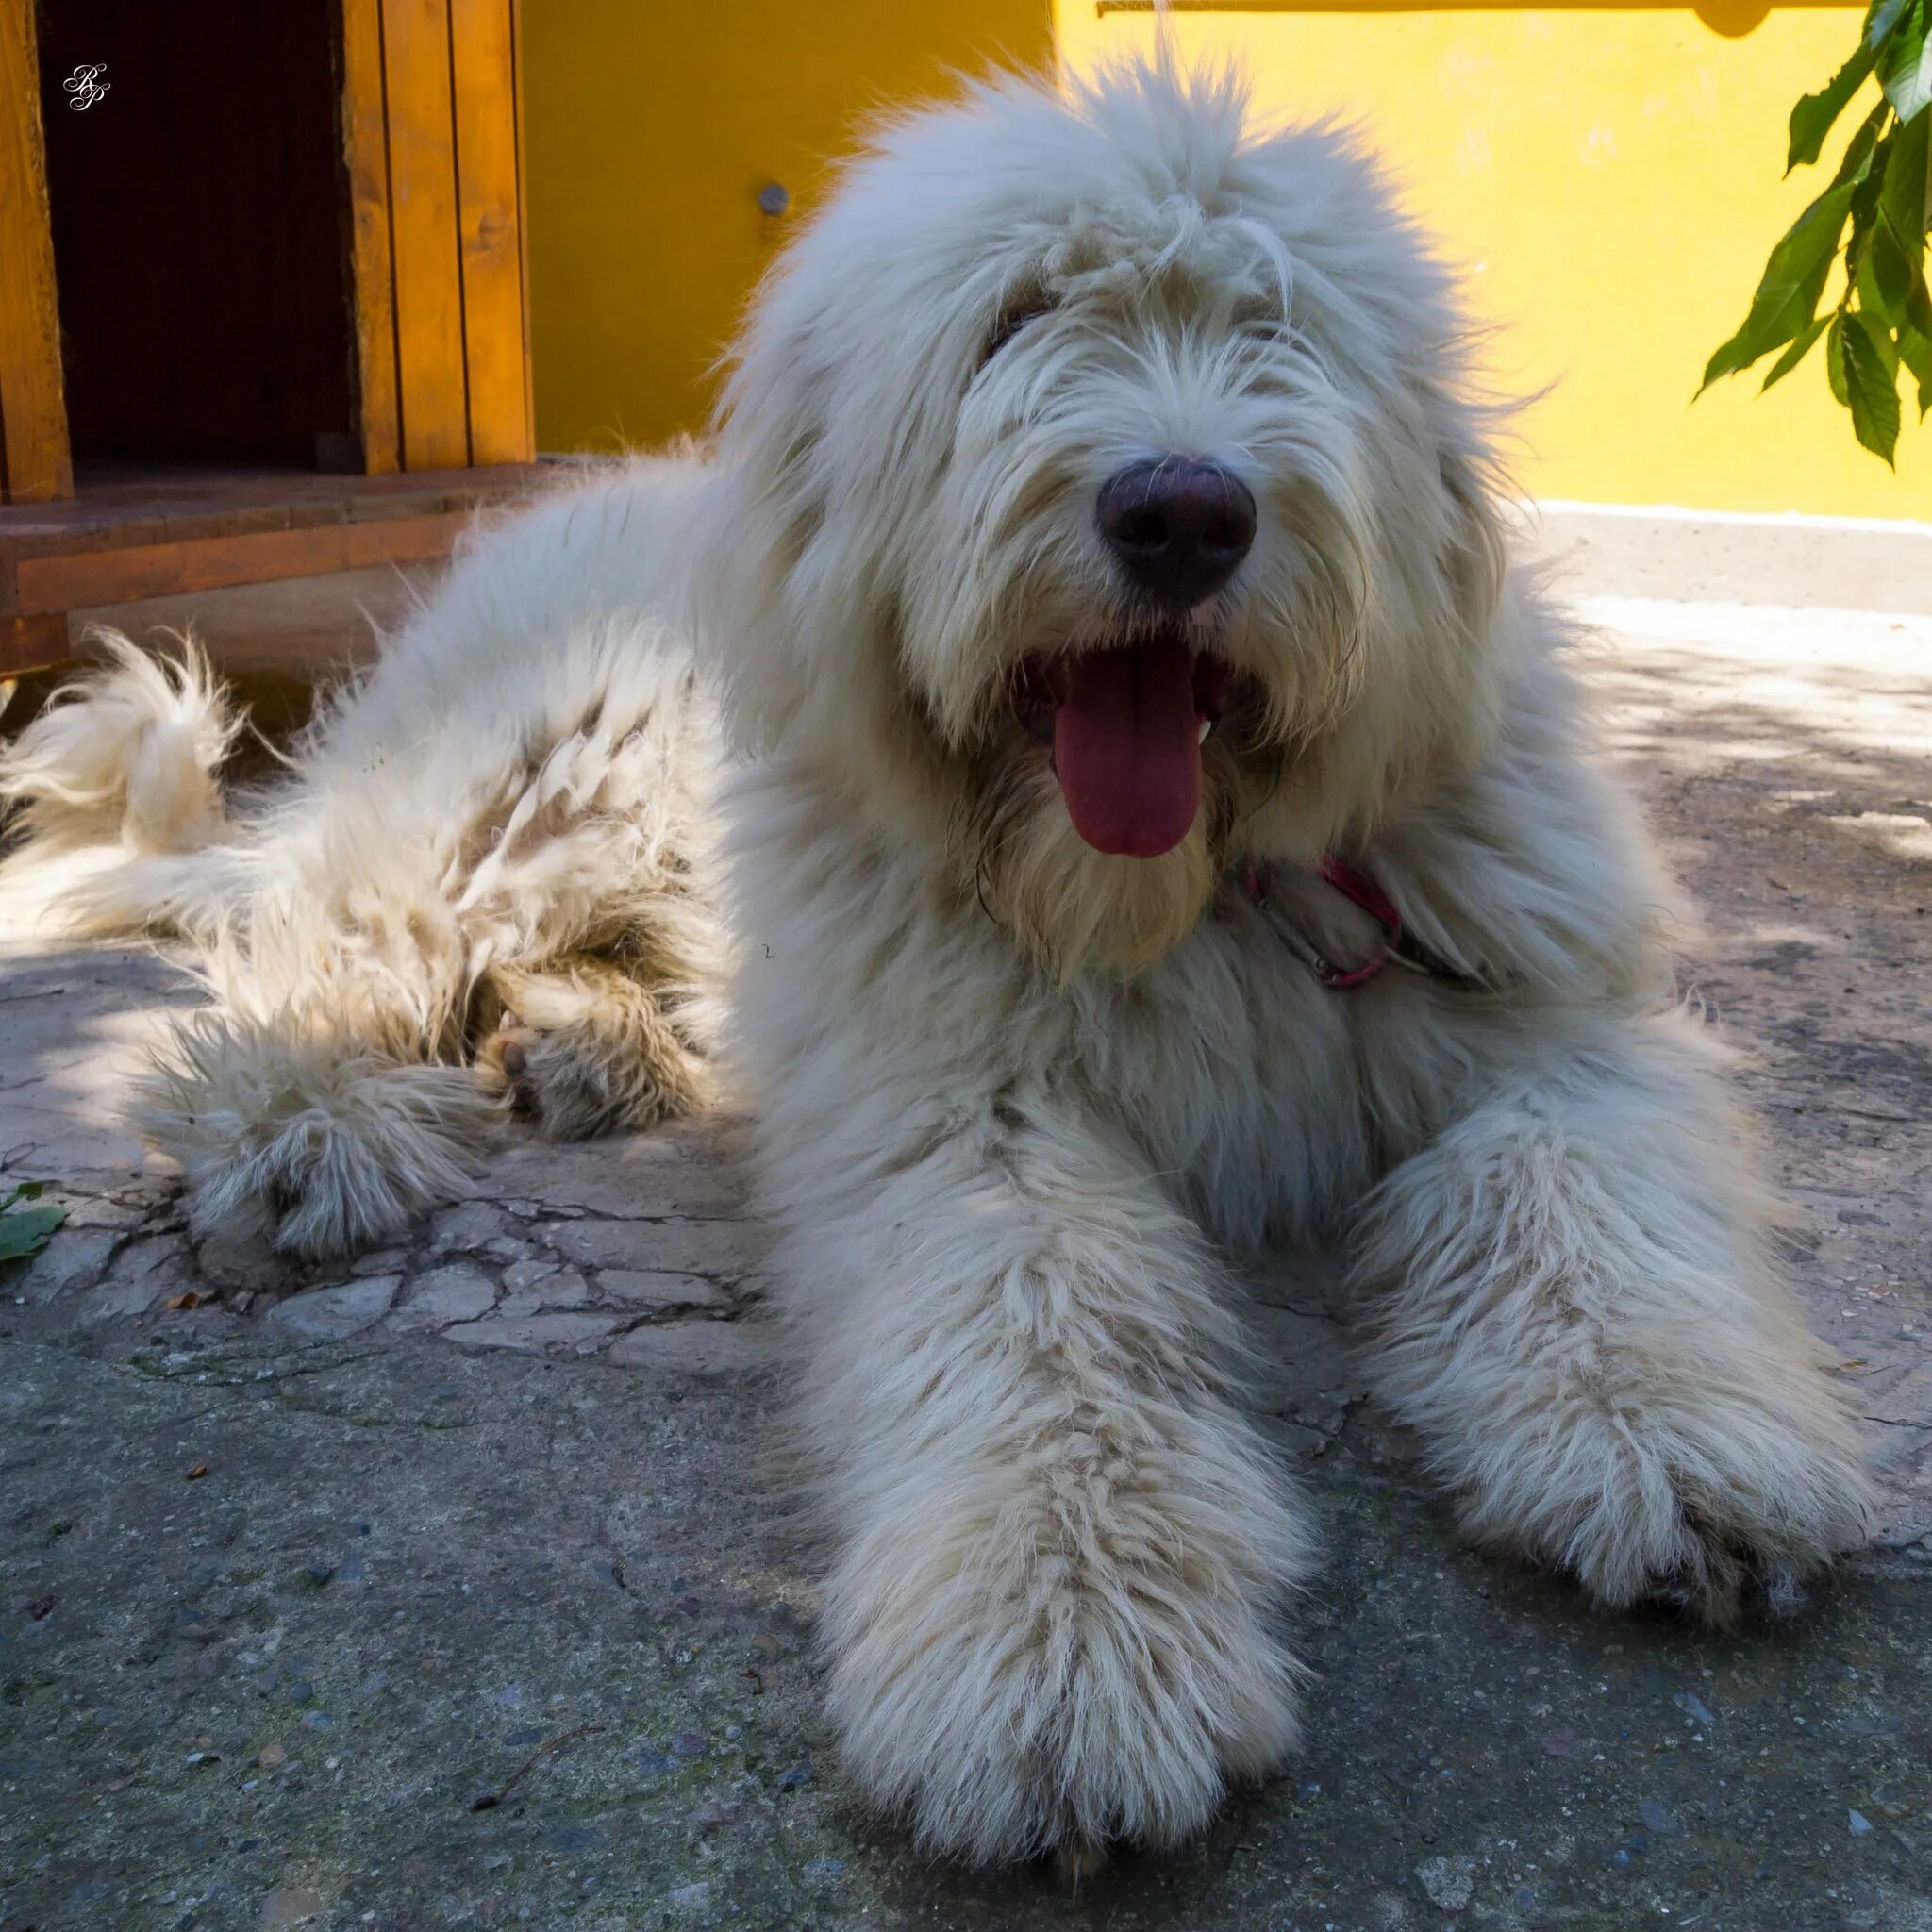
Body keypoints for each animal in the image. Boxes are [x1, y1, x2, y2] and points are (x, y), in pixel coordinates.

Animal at [0, 56, 1870, 1870]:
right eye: (1016, 319)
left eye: (1275, 325)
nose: (1183, 514)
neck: (1176, 892)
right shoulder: (961, 1101)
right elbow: (1037, 1312)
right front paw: (1063, 1645)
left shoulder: (1543, 1017)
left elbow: (1580, 1195)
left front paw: (1664, 1432)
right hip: (526, 782)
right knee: (326, 941)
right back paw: (305, 1117)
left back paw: (591, 1046)